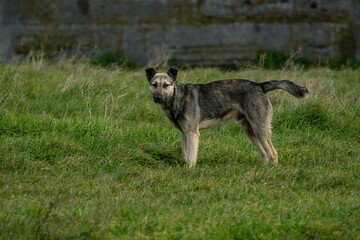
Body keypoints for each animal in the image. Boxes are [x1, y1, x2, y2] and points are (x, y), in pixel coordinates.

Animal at [145, 67, 308, 169]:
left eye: (166, 85)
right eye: (154, 85)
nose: (158, 98)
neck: (177, 98)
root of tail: (259, 85)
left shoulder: (192, 134)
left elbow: (191, 157)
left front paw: (189, 170)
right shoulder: (184, 134)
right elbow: (185, 154)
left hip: (260, 129)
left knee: (273, 153)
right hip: (250, 131)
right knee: (264, 154)